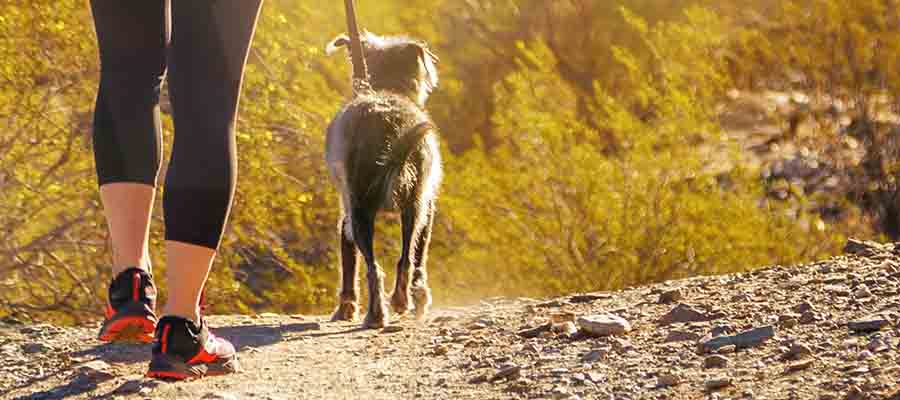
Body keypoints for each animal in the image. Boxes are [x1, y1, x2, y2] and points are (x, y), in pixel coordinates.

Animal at [326, 32, 442, 328]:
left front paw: (345, 307)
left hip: (363, 211)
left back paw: (378, 313)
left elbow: (348, 261)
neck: (386, 87)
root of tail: (389, 122)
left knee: (375, 266)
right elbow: (419, 255)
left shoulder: (345, 217)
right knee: (405, 259)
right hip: (412, 206)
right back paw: (399, 302)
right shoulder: (427, 208)